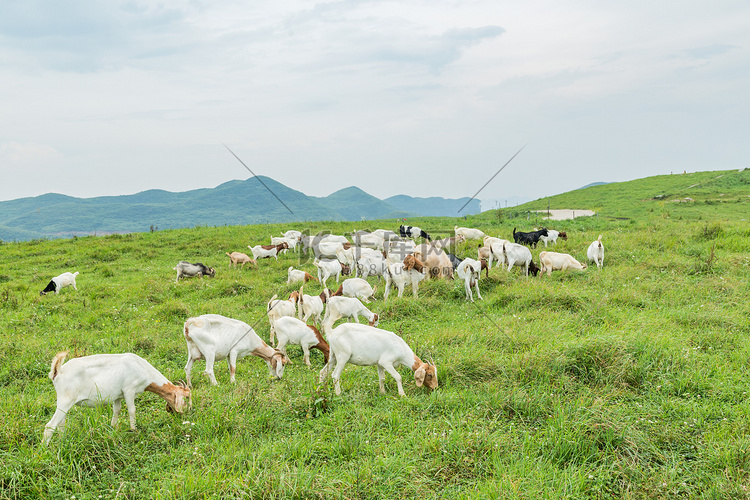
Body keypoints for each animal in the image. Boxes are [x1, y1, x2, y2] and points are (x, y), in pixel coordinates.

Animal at [43, 352, 191, 442]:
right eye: (187, 397)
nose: (186, 415)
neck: (142, 368)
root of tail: (57, 372)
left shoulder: (118, 396)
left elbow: (117, 410)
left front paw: (112, 428)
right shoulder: (129, 390)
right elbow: (132, 410)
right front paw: (134, 430)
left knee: (61, 423)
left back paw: (63, 440)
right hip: (65, 400)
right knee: (50, 425)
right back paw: (46, 449)